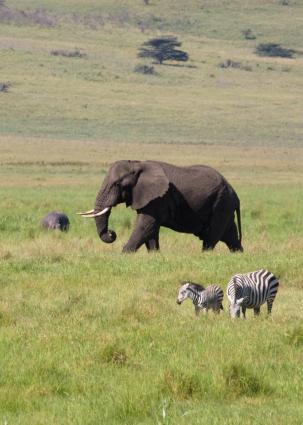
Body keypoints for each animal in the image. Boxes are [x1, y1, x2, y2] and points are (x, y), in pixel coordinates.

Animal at [78, 159, 242, 252]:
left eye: (118, 184)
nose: (112, 233)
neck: (138, 164)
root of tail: (235, 193)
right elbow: (151, 230)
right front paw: (155, 255)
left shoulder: (158, 198)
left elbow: (146, 225)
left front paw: (124, 254)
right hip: (224, 205)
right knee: (230, 235)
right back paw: (238, 253)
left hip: (221, 204)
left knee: (211, 237)